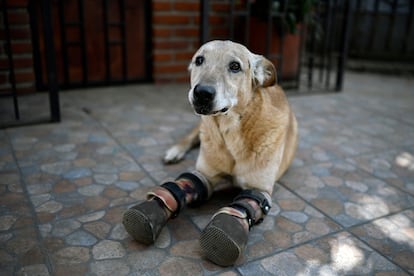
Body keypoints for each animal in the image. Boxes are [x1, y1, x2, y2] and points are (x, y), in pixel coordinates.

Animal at [163, 40, 296, 196]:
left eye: (235, 66)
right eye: (199, 60)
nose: (202, 93)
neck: (228, 131)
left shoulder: (258, 189)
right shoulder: (204, 176)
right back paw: (174, 151)